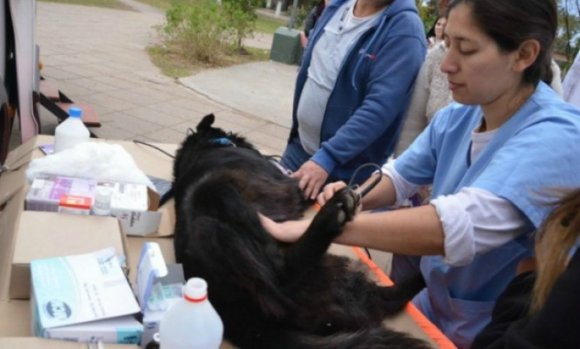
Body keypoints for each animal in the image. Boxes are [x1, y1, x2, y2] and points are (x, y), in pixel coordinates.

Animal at [165, 113, 428, 346]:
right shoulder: (294, 186)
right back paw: (333, 212)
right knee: (284, 271)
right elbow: (314, 188)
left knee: (383, 302)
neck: (207, 148)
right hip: (218, 204)